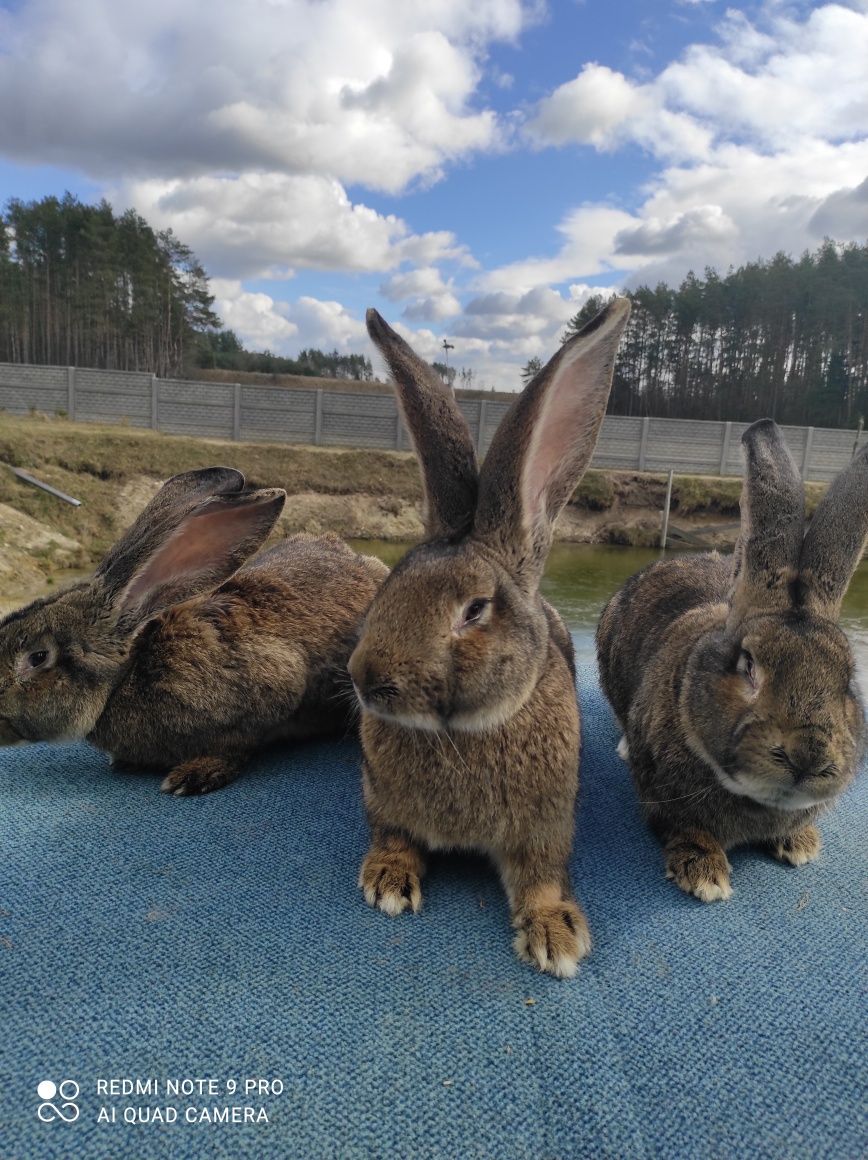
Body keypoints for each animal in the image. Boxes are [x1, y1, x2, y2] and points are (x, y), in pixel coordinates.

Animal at [345, 294, 631, 974]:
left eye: (475, 610)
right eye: (390, 582)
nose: (365, 678)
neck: (462, 732)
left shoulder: (543, 830)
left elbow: (542, 879)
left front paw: (555, 936)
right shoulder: (384, 803)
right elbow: (392, 835)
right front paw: (387, 880)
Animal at [598, 422, 863, 900]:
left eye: (848, 681)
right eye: (748, 665)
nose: (808, 757)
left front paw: (800, 845)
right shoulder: (661, 800)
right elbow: (685, 828)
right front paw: (706, 876)